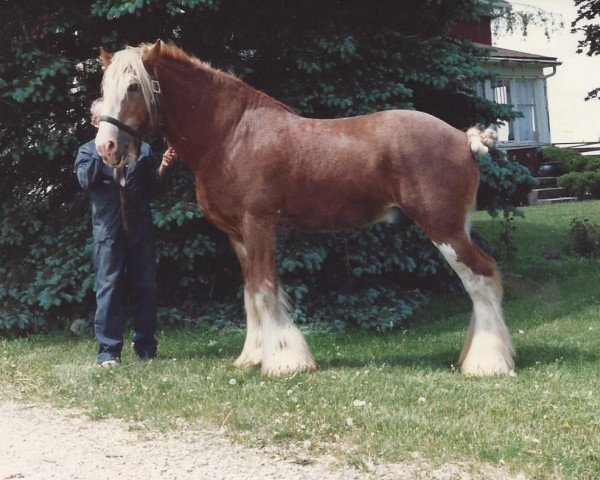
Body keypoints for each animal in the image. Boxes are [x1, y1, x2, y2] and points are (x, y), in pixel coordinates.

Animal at [95, 40, 516, 378]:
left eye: (133, 87)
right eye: (103, 88)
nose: (106, 148)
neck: (230, 135)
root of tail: (463, 138)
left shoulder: (259, 225)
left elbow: (266, 290)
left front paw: (283, 361)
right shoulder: (237, 235)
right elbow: (250, 293)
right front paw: (253, 357)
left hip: (444, 229)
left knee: (481, 277)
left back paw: (488, 363)